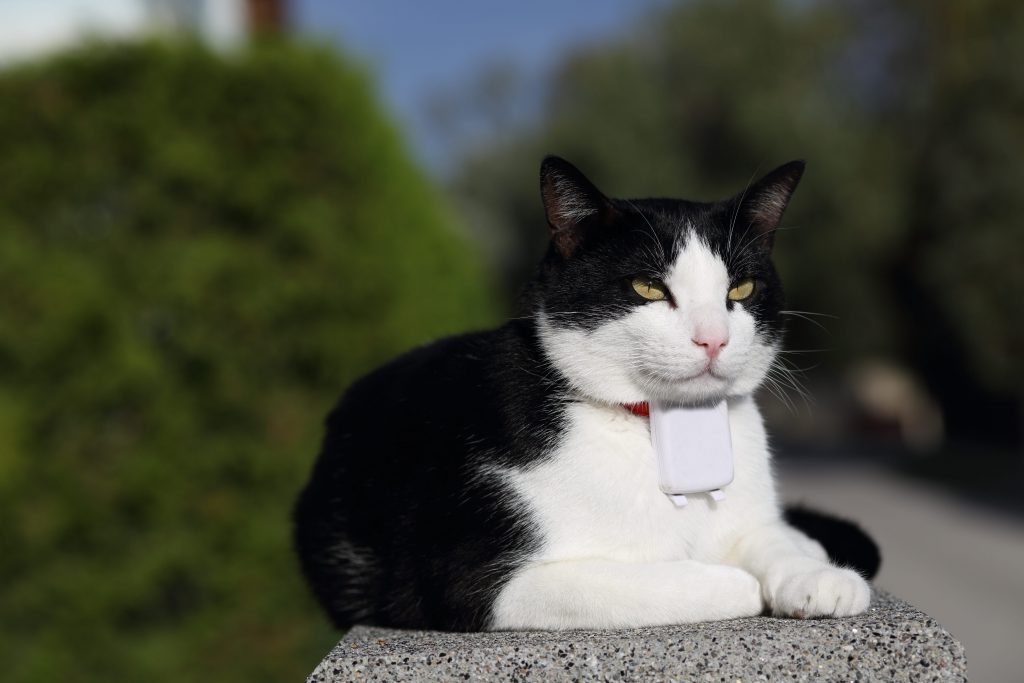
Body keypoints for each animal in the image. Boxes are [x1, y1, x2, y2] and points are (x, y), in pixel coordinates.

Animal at [292, 157, 876, 634]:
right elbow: (660, 584)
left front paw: (816, 574)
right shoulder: (481, 582)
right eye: (647, 288)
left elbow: (766, 535)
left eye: (741, 289)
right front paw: (741, 582)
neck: (658, 426)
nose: (713, 337)